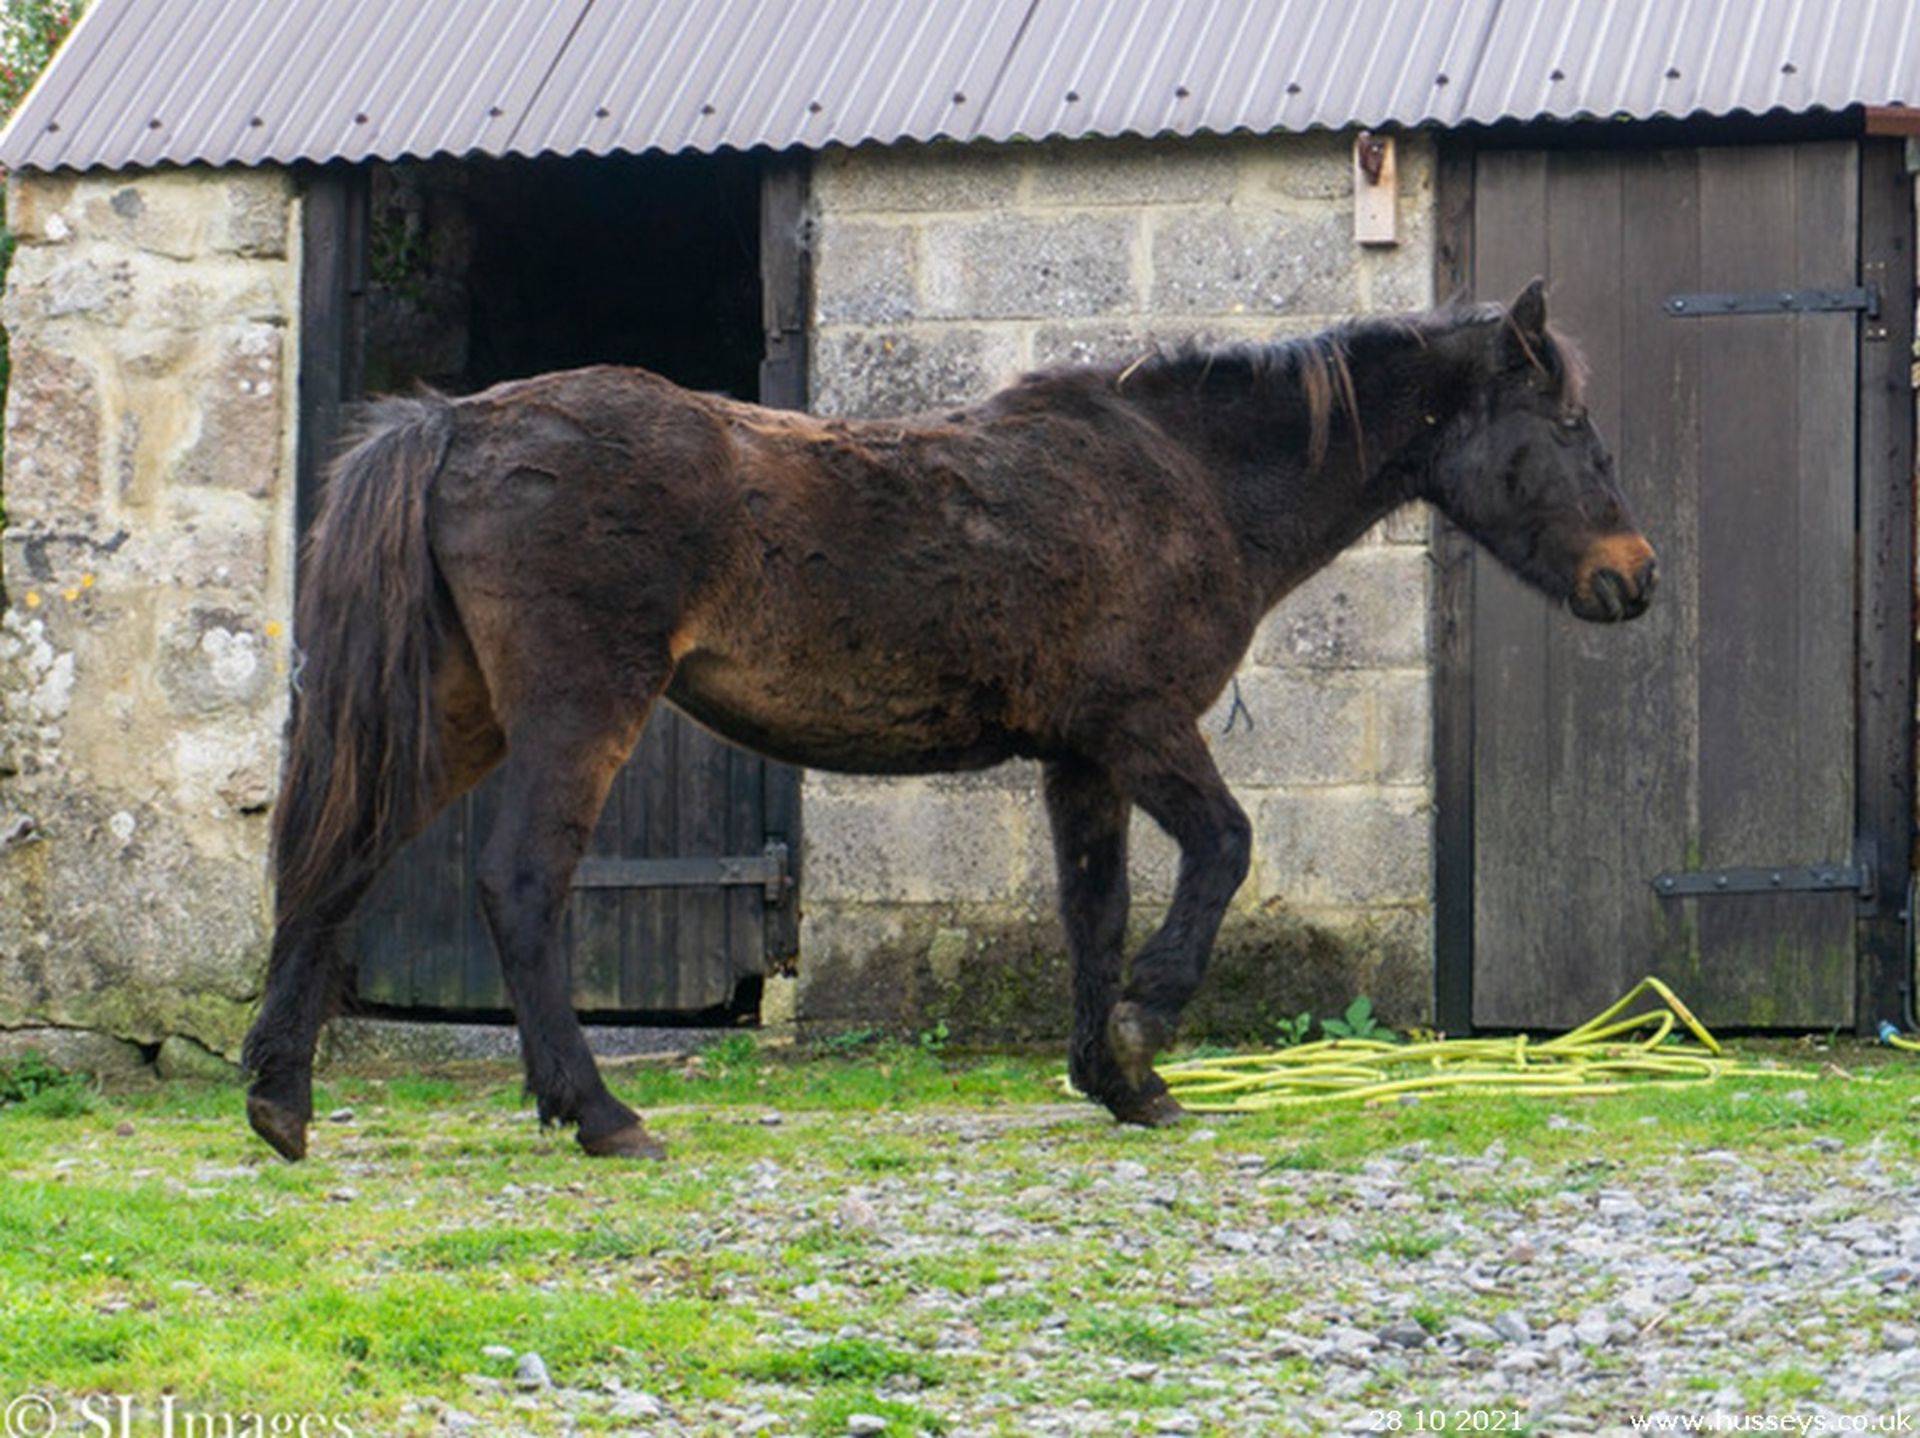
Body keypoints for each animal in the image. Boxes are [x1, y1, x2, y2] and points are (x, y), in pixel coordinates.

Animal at [240, 280, 1651, 1151]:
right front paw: (1147, 1026)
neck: (1182, 475)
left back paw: (280, 1101)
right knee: (521, 882)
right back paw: (599, 1114)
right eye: (1574, 424)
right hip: (580, 708)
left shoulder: (1080, 759)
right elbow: (1224, 851)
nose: (1633, 579)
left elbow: (1096, 911)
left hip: (459, 715)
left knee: (342, 861)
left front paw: (1120, 1079)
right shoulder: (1139, 726)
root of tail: (459, 424)